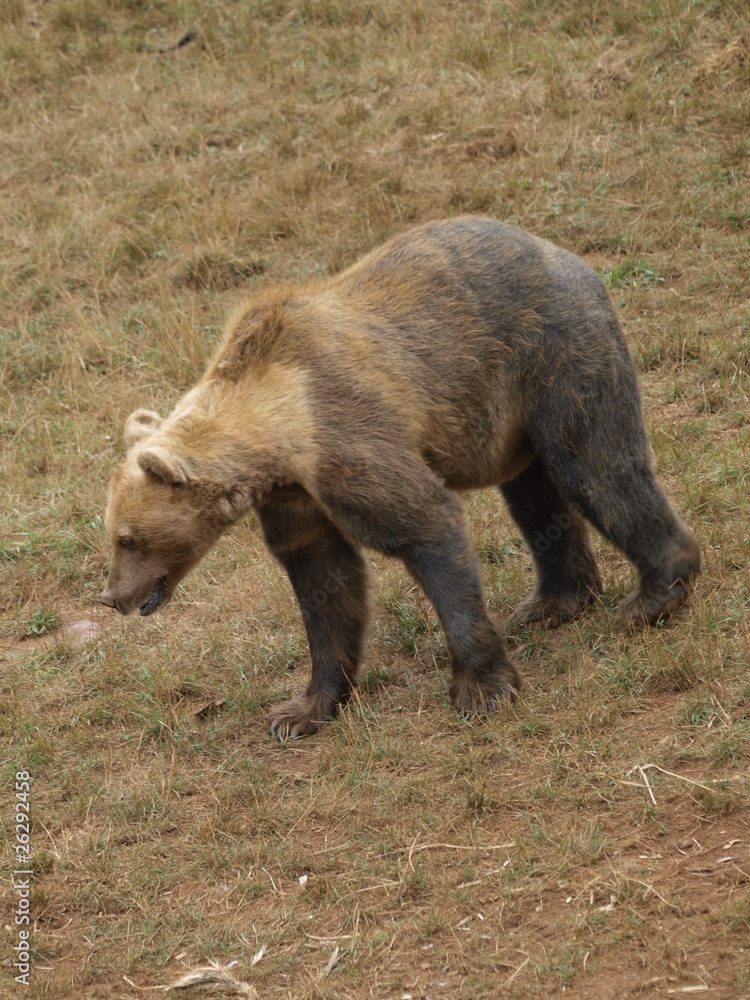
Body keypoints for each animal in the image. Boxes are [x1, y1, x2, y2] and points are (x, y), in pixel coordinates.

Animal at [101, 216, 701, 738]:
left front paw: (481, 689)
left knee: (596, 465)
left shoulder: (347, 438)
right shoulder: (295, 497)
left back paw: (653, 596)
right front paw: (301, 709)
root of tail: (563, 254)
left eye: (126, 538)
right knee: (535, 497)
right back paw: (554, 602)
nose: (110, 597)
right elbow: (326, 581)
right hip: (512, 416)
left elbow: (425, 524)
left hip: (553, 353)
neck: (278, 431)